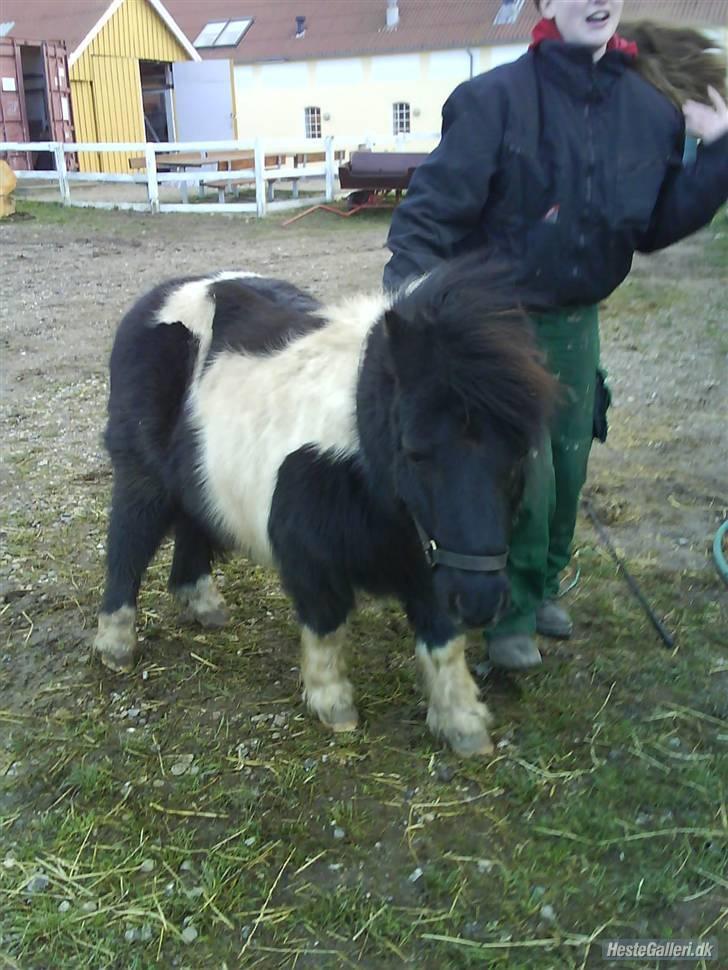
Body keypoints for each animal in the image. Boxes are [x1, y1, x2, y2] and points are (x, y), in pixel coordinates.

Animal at [94, 262, 556, 756]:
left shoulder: (429, 561)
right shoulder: (310, 555)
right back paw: (115, 645)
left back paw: (202, 603)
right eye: (414, 451)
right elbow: (327, 623)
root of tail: (156, 300)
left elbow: (442, 642)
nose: (480, 603)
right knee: (128, 546)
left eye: (520, 452)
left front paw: (462, 722)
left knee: (192, 527)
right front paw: (333, 704)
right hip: (141, 477)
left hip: (199, 480)